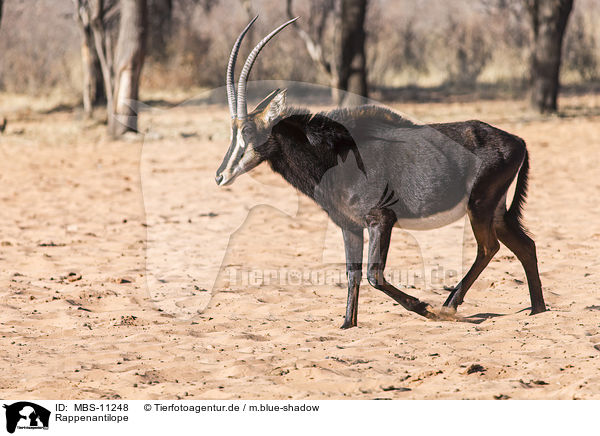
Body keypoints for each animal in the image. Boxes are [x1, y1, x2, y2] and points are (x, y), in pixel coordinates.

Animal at [216, 17, 548, 330]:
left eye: (248, 130)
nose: (220, 176)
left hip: (479, 206)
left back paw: (449, 306)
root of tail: (517, 141)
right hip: (496, 211)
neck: (334, 154)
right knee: (525, 246)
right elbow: (352, 273)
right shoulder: (349, 225)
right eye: (232, 130)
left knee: (489, 247)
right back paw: (537, 310)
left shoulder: (379, 219)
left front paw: (424, 308)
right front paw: (347, 324)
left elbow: (374, 275)